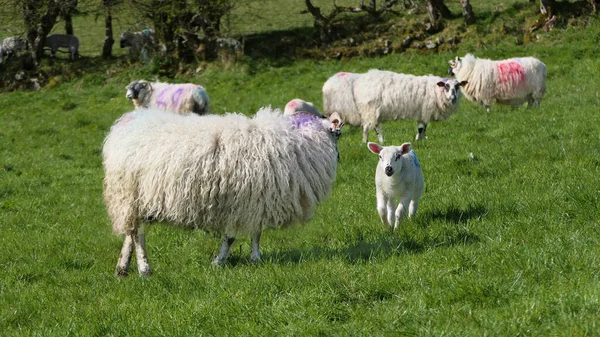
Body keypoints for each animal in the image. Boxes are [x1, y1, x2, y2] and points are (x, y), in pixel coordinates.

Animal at [102, 106, 342, 274]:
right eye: (337, 134)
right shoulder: (247, 202)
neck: (301, 142)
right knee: (138, 234)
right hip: (129, 193)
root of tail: (124, 124)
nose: (340, 158)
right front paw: (222, 261)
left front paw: (252, 258)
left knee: (130, 231)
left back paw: (122, 268)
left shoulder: (255, 201)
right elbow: (234, 237)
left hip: (137, 200)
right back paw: (145, 269)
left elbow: (254, 233)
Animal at [322, 69, 466, 142]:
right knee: (368, 127)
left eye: (458, 86)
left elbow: (422, 128)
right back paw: (369, 142)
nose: (453, 98)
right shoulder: (425, 110)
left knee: (373, 126)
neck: (435, 90)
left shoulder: (421, 112)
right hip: (370, 109)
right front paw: (419, 141)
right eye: (446, 86)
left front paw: (420, 140)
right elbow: (421, 128)